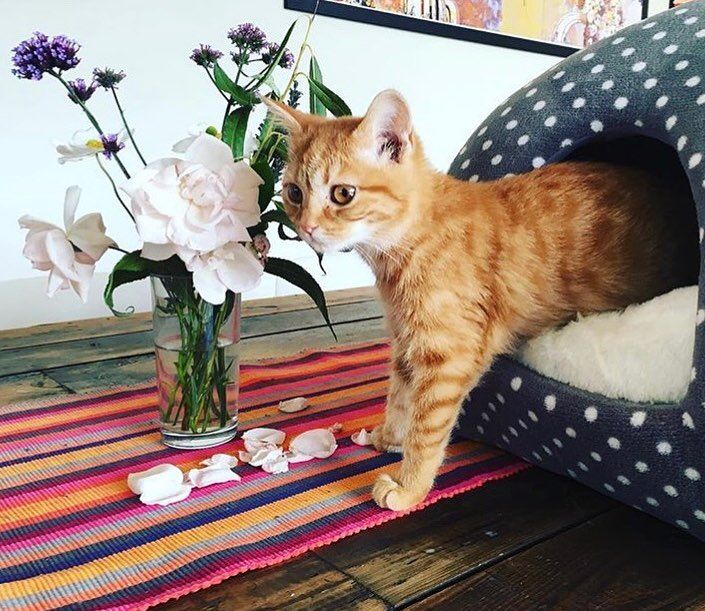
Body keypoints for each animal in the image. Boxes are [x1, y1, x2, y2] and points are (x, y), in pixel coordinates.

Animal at [262, 90, 697, 511]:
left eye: (343, 193)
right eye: (294, 192)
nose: (307, 228)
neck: (411, 244)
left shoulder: (447, 356)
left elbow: (426, 428)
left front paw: (409, 487)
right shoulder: (405, 342)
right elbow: (400, 398)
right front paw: (389, 436)